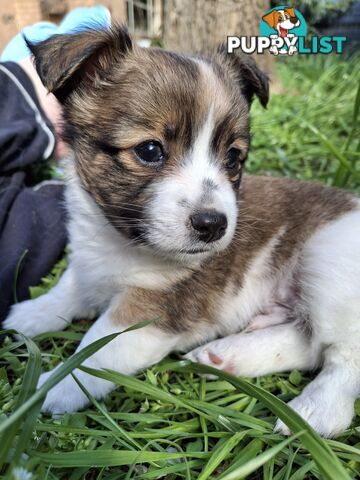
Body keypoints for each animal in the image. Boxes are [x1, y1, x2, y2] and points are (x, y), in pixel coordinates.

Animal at [4, 27, 358, 438]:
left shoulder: (149, 310)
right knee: (307, 341)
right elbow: (70, 287)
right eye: (149, 150)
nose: (213, 224)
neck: (119, 240)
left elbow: (97, 347)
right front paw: (31, 314)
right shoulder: (88, 261)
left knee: (343, 356)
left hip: (328, 266)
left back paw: (315, 411)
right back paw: (224, 356)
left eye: (233, 158)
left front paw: (49, 389)